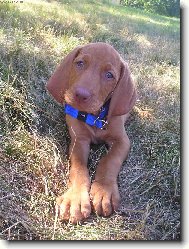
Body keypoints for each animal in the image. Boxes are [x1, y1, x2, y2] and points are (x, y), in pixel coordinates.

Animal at [46, 41, 137, 223]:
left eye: (109, 75)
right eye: (80, 63)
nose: (81, 95)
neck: (94, 117)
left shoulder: (122, 140)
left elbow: (109, 160)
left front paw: (104, 191)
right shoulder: (78, 140)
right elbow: (79, 168)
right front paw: (75, 198)